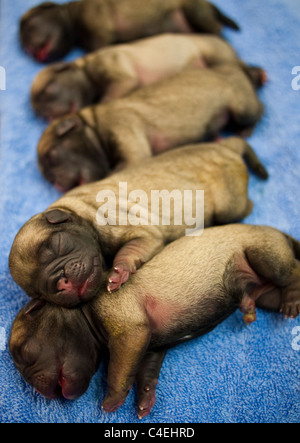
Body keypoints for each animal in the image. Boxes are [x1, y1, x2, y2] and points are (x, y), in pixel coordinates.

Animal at [8, 137, 268, 306]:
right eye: (40, 293)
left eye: (58, 245)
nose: (61, 283)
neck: (79, 210)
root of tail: (228, 149)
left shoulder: (139, 231)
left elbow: (132, 249)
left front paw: (120, 270)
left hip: (228, 205)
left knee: (244, 207)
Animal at [9, 225, 300, 420]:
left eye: (23, 354)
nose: (35, 388)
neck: (85, 311)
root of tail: (278, 232)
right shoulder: (151, 349)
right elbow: (145, 373)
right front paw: (144, 398)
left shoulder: (130, 332)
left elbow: (118, 372)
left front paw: (111, 400)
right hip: (267, 293)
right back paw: (248, 304)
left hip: (264, 256)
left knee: (292, 272)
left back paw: (291, 300)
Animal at [29, 33, 246, 119]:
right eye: (37, 111)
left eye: (47, 91)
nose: (44, 114)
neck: (86, 66)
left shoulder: (119, 74)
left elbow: (113, 93)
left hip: (215, 54)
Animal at [36, 66, 264, 193]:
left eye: (52, 156)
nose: (54, 183)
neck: (95, 125)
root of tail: (239, 70)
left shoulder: (124, 133)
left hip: (242, 107)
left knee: (258, 110)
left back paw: (247, 127)